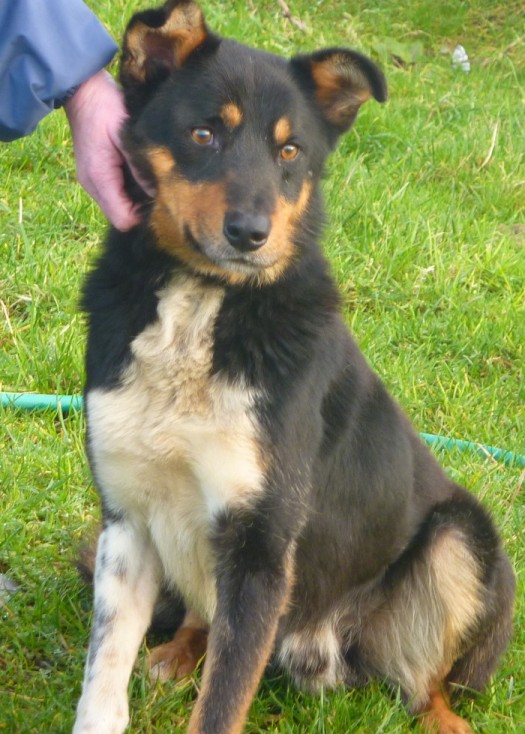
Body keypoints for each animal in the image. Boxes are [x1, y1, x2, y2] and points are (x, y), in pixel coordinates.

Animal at [71, 2, 512, 732]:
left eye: (289, 151)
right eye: (203, 134)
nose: (251, 233)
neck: (203, 305)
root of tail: (318, 647)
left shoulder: (262, 546)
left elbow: (221, 703)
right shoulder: (128, 521)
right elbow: (104, 682)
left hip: (461, 540)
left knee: (426, 682)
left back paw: (445, 718)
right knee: (207, 621)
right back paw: (180, 648)